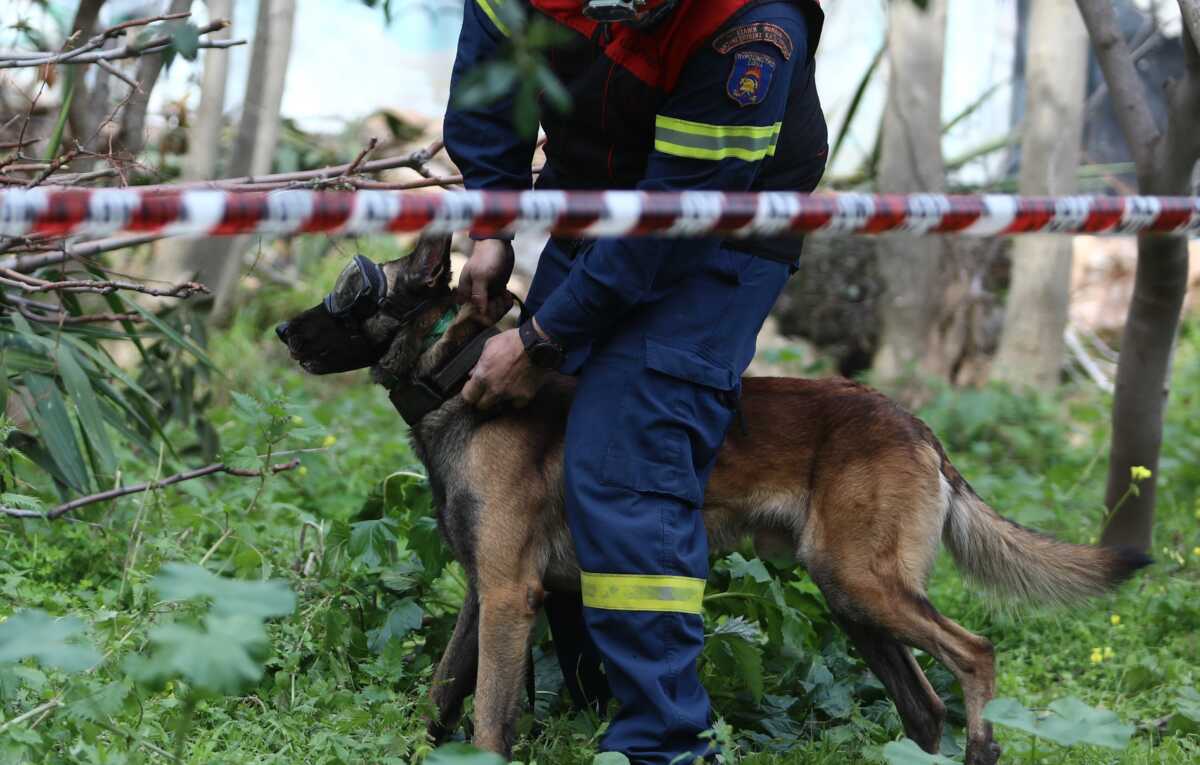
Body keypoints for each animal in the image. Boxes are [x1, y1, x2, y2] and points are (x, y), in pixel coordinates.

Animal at [278, 237, 1152, 762]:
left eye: (347, 292)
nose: (283, 331)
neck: (459, 375)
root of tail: (916, 423)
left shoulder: (506, 594)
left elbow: (489, 717)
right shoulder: (481, 593)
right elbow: (441, 692)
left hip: (865, 585)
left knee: (976, 652)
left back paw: (983, 743)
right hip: (853, 598)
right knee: (922, 703)